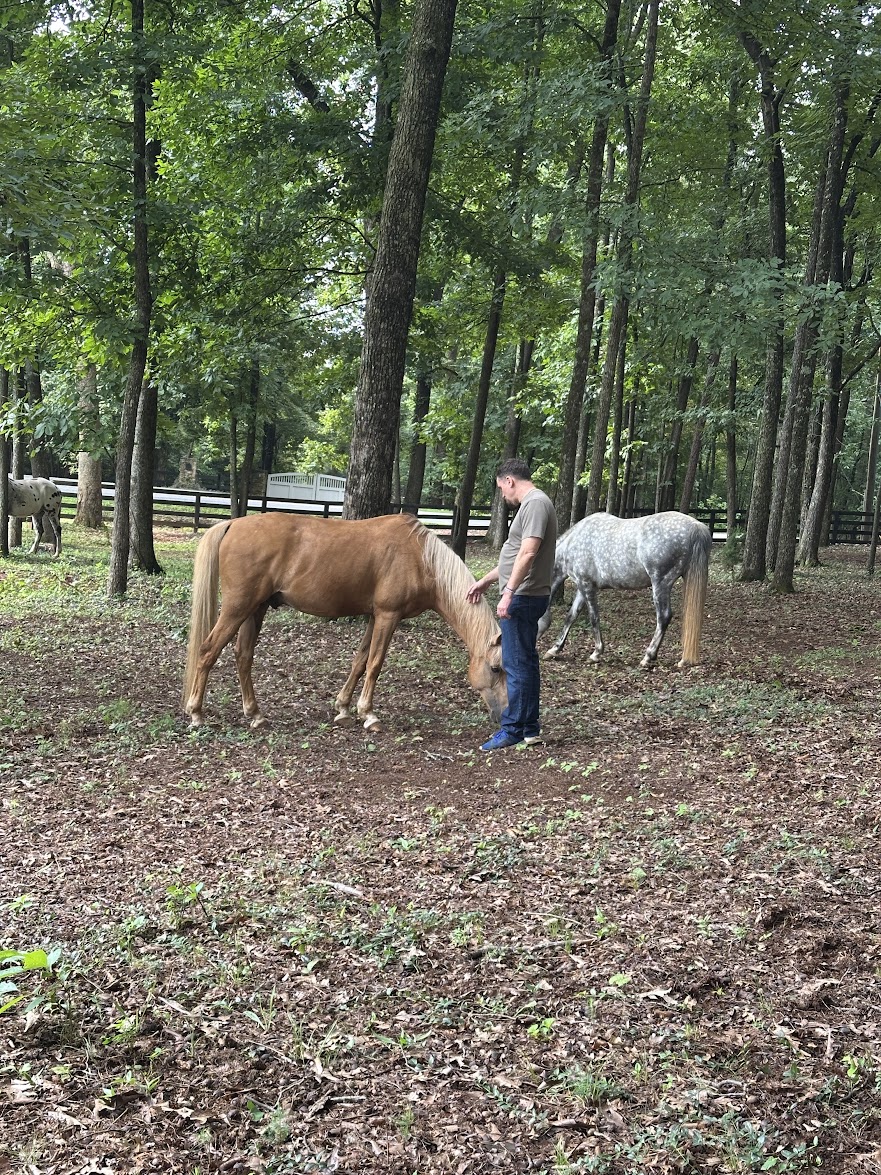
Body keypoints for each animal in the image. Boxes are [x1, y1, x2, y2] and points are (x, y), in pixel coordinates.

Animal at [182, 512, 507, 732]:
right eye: (495, 668)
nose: (503, 715)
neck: (420, 557)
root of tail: (233, 523)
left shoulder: (375, 617)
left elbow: (360, 661)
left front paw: (344, 709)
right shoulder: (388, 615)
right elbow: (375, 664)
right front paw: (369, 715)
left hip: (255, 609)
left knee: (243, 656)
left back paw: (255, 714)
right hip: (237, 608)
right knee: (208, 651)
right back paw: (196, 713)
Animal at [537, 511, 711, 669]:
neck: (573, 541)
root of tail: (696, 526)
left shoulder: (586, 585)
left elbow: (594, 618)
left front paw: (596, 653)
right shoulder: (582, 587)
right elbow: (571, 616)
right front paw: (554, 649)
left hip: (661, 583)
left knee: (664, 617)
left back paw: (648, 657)